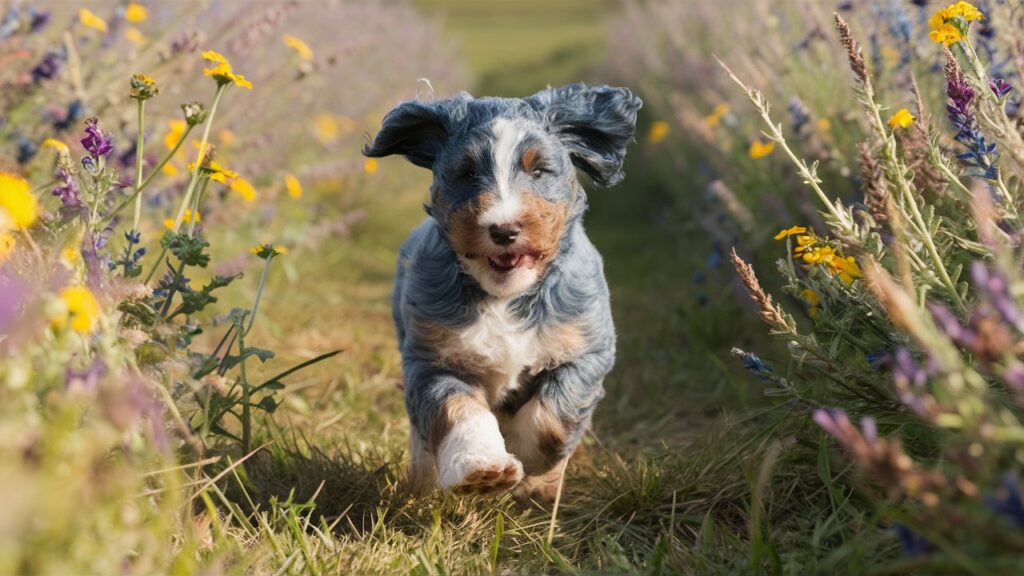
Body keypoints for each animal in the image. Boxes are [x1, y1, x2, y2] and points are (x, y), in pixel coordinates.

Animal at [366, 81, 638, 498]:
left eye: (539, 170)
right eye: (467, 172)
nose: (504, 229)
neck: (506, 297)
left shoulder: (585, 351)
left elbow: (552, 414)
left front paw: (529, 465)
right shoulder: (433, 359)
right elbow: (457, 409)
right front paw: (482, 468)